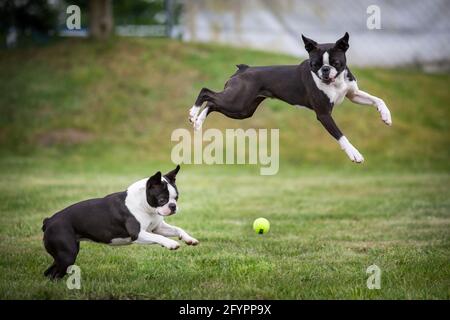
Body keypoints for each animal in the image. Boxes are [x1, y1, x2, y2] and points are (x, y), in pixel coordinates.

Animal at [43, 166, 198, 278]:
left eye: (176, 198)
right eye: (162, 200)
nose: (173, 206)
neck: (144, 205)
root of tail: (49, 221)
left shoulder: (157, 227)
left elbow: (177, 229)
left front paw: (189, 239)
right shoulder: (138, 234)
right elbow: (158, 237)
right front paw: (170, 243)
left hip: (65, 253)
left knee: (50, 272)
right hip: (67, 254)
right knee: (55, 274)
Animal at [188, 32, 392, 162]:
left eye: (335, 62)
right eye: (314, 64)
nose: (325, 70)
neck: (334, 82)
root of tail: (243, 69)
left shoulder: (353, 94)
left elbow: (378, 99)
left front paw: (386, 116)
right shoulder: (324, 114)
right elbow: (341, 136)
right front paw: (354, 154)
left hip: (242, 109)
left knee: (213, 103)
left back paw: (198, 122)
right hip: (237, 102)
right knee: (207, 93)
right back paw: (193, 113)